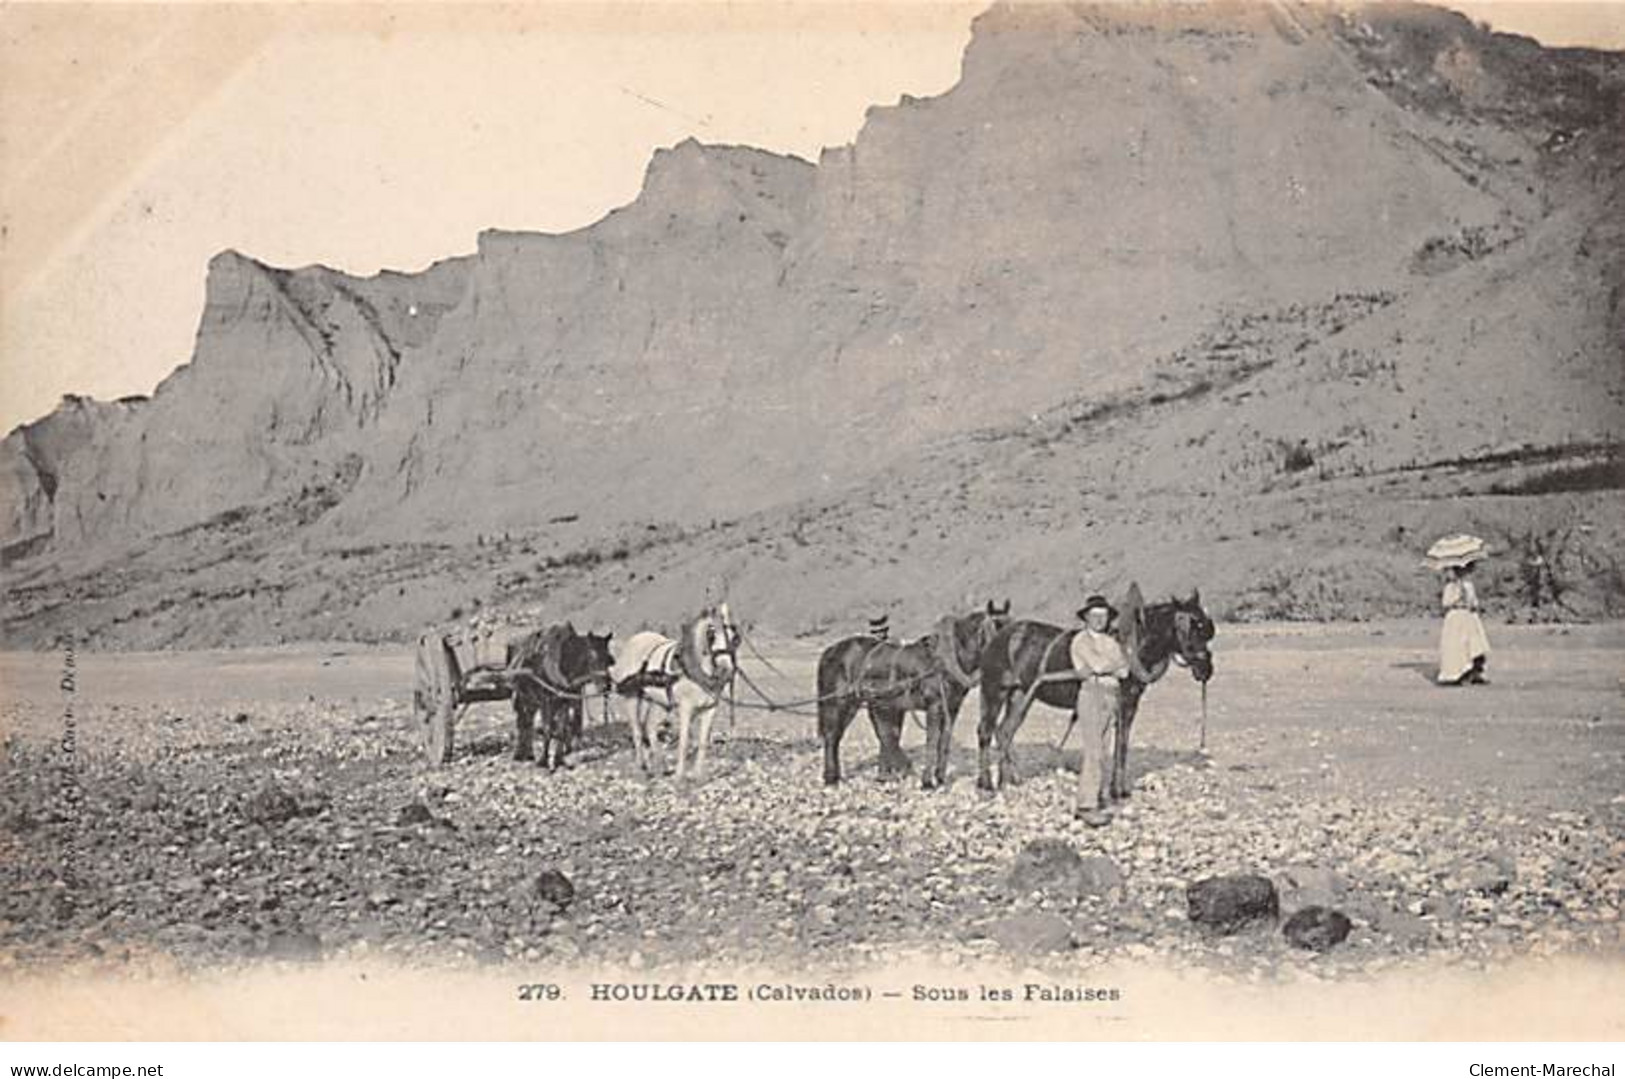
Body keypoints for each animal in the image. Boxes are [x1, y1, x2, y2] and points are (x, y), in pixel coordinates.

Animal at [503, 624, 611, 767]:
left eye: (609, 659)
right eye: (592, 656)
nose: (606, 687)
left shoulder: (564, 701)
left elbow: (561, 730)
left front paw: (558, 759)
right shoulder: (546, 701)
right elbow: (547, 729)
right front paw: (543, 760)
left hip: (533, 701)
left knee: (528, 721)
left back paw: (529, 754)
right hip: (522, 698)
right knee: (522, 722)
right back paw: (519, 754)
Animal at [611, 601, 741, 780]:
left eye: (734, 637)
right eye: (711, 634)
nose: (725, 670)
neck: (693, 669)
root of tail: (635, 639)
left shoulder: (710, 709)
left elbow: (702, 742)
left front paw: (699, 776)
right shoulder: (685, 708)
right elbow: (684, 741)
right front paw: (679, 776)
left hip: (659, 701)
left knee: (650, 726)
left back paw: (659, 764)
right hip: (632, 696)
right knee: (637, 730)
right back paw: (641, 765)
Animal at [819, 601, 1007, 789]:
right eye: (996, 628)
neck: (944, 661)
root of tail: (830, 650)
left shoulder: (952, 708)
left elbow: (944, 741)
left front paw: (940, 778)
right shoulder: (934, 707)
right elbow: (932, 740)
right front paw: (927, 782)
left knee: (846, 736)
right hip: (838, 703)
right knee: (832, 736)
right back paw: (831, 778)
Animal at [968, 591, 1215, 793]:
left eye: (1206, 626)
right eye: (1193, 625)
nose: (1206, 669)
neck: (1129, 651)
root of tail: (1001, 637)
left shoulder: (1129, 705)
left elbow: (1121, 745)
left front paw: (1119, 789)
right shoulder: (1117, 704)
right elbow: (1114, 746)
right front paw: (1111, 791)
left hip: (1020, 697)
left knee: (1005, 732)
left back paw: (1009, 780)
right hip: (995, 691)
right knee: (986, 732)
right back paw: (987, 783)